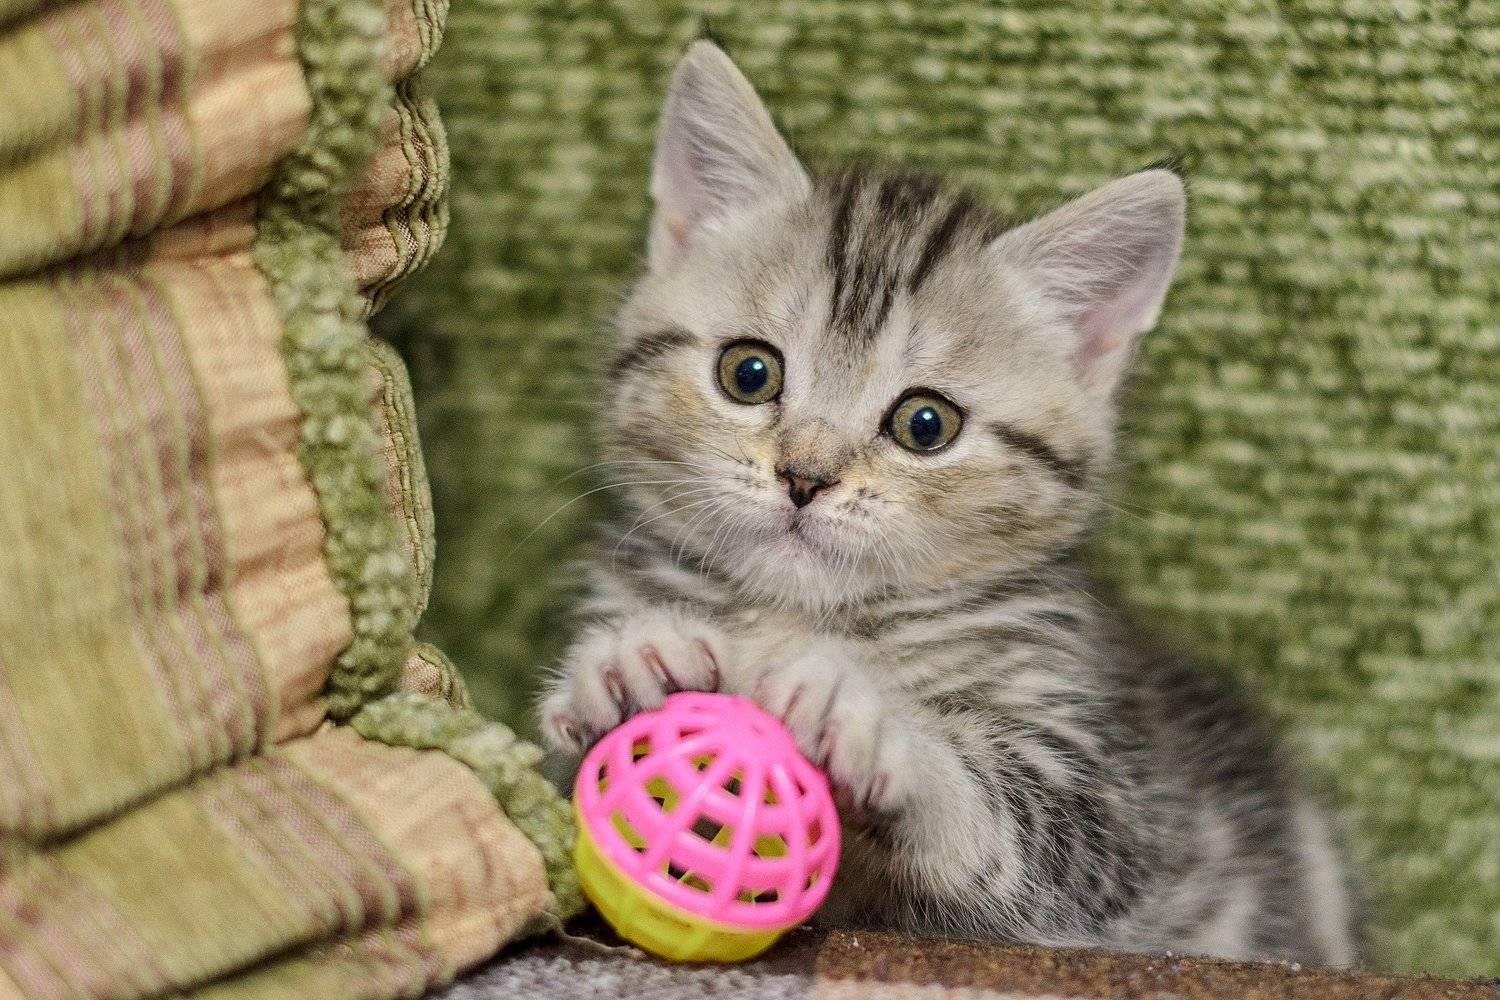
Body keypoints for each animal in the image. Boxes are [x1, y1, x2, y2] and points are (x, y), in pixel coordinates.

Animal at [539, 40, 1359, 966]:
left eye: (925, 424)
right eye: (749, 373)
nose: (805, 477)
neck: (797, 615)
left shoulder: (1129, 822)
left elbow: (1024, 823)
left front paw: (875, 719)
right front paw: (628, 668)